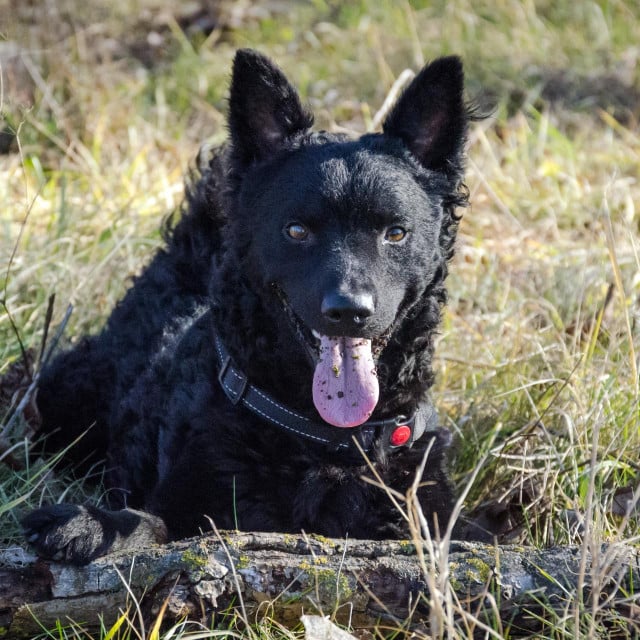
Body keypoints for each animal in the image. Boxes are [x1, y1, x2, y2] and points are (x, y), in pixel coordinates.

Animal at [25, 47, 472, 564]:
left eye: (395, 233)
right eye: (296, 230)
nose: (349, 310)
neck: (327, 442)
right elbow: (154, 522)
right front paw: (89, 524)